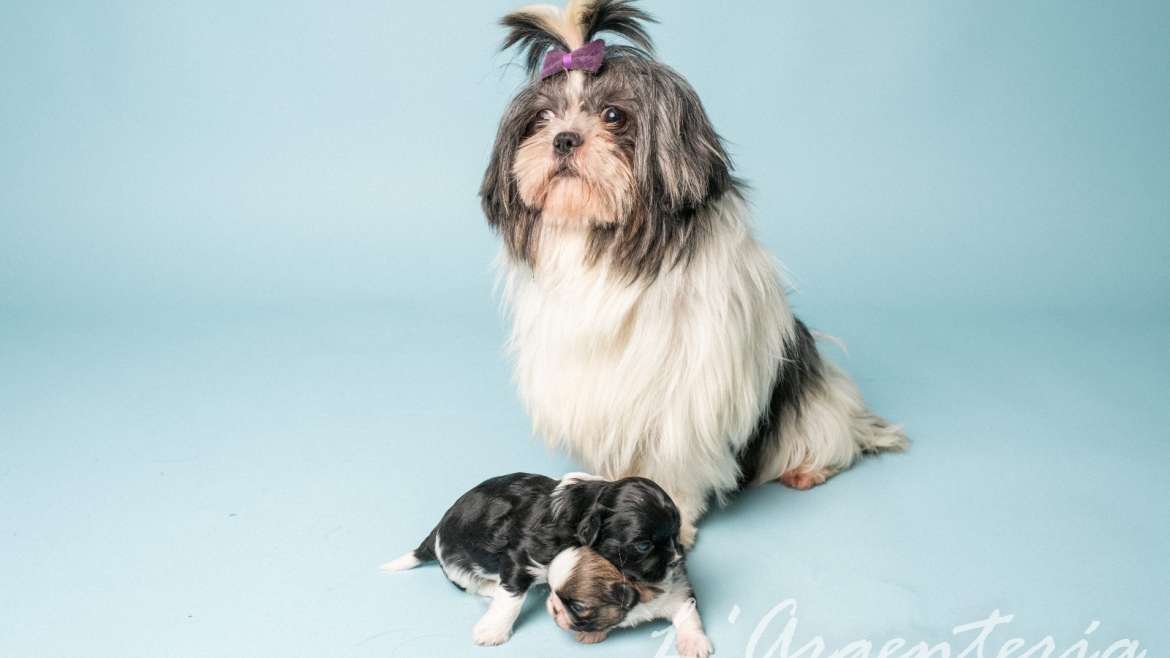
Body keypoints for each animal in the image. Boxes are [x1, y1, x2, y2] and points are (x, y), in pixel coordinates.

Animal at [379, 470, 683, 646]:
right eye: (643, 546)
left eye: (676, 534)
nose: (676, 560)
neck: (581, 508)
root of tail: (435, 536)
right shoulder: (523, 557)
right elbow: (511, 598)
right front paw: (493, 631)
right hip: (457, 566)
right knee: (471, 583)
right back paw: (491, 587)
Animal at [479, 0, 907, 543]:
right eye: (541, 118)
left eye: (614, 115)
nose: (564, 139)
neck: (603, 242)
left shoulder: (684, 398)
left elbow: (672, 461)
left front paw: (671, 512)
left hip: (813, 403)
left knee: (831, 441)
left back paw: (808, 467)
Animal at [542, 543, 706, 655]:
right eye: (550, 589)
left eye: (577, 607)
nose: (554, 608)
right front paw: (593, 633)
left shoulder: (679, 594)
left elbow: (688, 618)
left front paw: (693, 643)